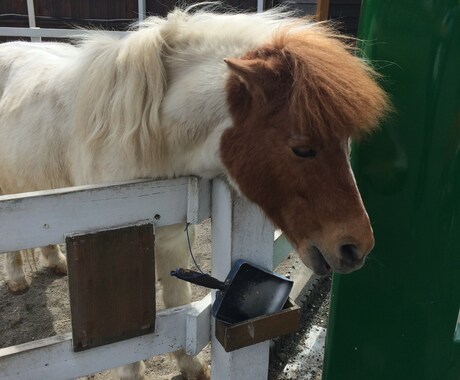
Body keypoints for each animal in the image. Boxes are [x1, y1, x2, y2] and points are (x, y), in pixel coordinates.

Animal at [0, 6, 388, 380]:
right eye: (302, 148)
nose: (357, 246)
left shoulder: (171, 240)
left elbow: (177, 301)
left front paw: (189, 365)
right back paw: (17, 280)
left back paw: (54, 261)